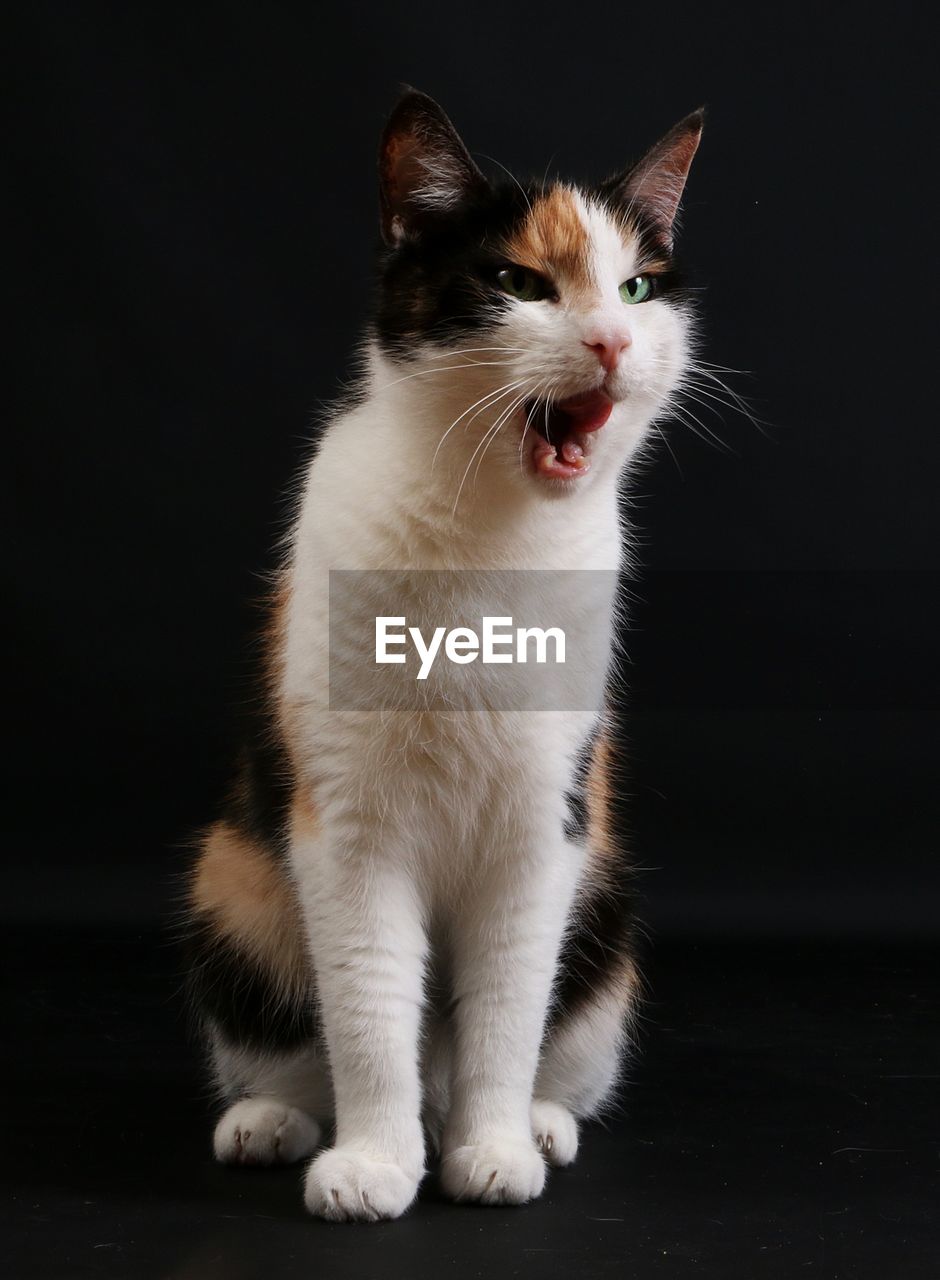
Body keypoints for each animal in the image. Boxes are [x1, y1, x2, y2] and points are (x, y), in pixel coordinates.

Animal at [184, 90, 701, 1218]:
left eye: (637, 287)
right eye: (518, 282)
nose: (610, 339)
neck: (489, 536)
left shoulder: (546, 824)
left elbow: (505, 1007)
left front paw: (493, 1147)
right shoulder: (345, 821)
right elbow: (369, 1003)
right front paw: (374, 1163)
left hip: (605, 908)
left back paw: (537, 1122)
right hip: (234, 878)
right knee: (292, 1034)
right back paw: (272, 1120)